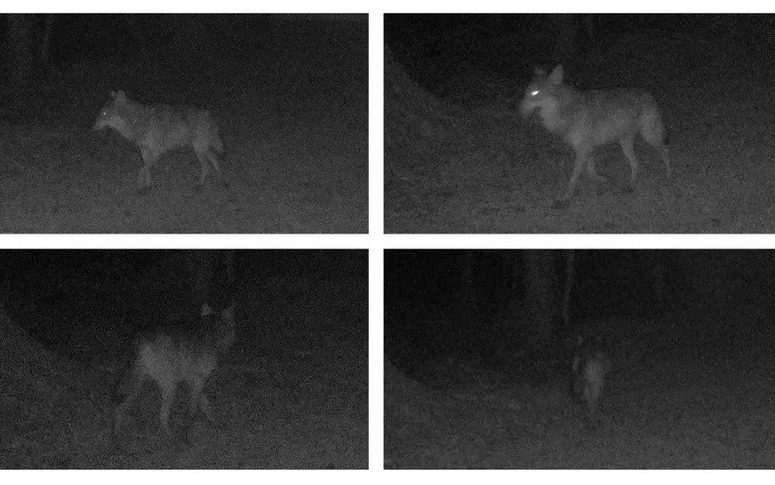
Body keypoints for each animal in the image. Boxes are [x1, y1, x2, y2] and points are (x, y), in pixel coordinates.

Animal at [93, 90, 227, 192]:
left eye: (104, 113)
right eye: (100, 113)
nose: (92, 127)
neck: (136, 121)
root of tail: (209, 115)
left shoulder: (156, 151)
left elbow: (145, 168)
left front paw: (143, 184)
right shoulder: (144, 150)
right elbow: (145, 167)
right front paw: (145, 184)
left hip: (199, 149)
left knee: (206, 165)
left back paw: (200, 183)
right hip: (202, 148)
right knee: (214, 158)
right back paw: (220, 179)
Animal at [520, 65, 672, 208]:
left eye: (534, 93)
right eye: (526, 93)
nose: (518, 109)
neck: (564, 110)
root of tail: (650, 95)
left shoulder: (582, 149)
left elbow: (574, 177)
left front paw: (565, 197)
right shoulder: (587, 148)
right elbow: (590, 170)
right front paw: (604, 180)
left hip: (649, 137)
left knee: (665, 151)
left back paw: (669, 175)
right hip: (625, 143)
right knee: (636, 162)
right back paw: (631, 185)